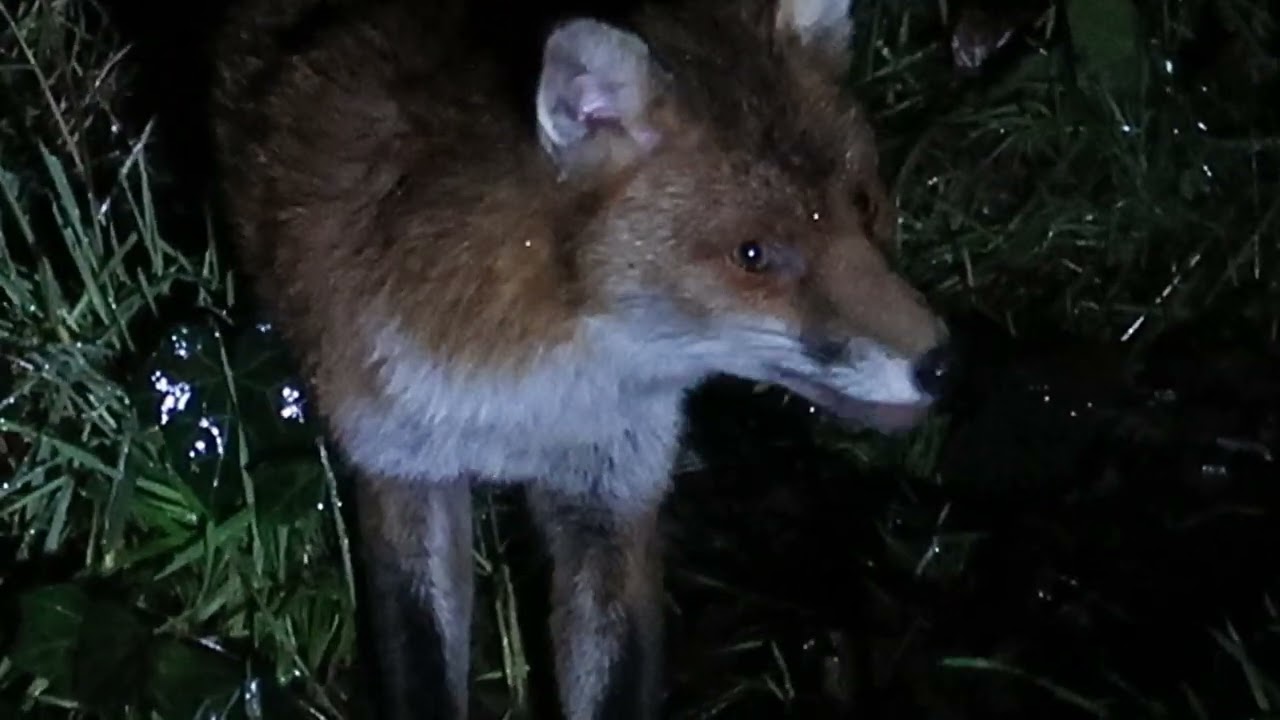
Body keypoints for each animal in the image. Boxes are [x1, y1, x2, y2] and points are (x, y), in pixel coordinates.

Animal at [207, 0, 953, 717]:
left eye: (864, 203)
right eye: (753, 255)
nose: (943, 364)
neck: (533, 403)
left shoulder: (613, 490)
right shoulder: (400, 461)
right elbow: (421, 665)